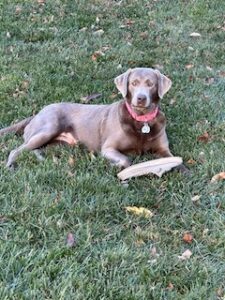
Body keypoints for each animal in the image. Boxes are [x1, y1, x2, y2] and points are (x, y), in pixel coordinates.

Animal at [0, 68, 184, 171]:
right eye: (133, 83)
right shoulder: (108, 148)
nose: (140, 98)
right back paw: (10, 166)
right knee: (16, 150)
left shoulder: (163, 149)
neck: (141, 120)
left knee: (33, 149)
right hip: (49, 127)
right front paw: (113, 165)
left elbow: (176, 161)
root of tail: (38, 112)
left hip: (58, 141)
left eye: (151, 84)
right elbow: (127, 159)